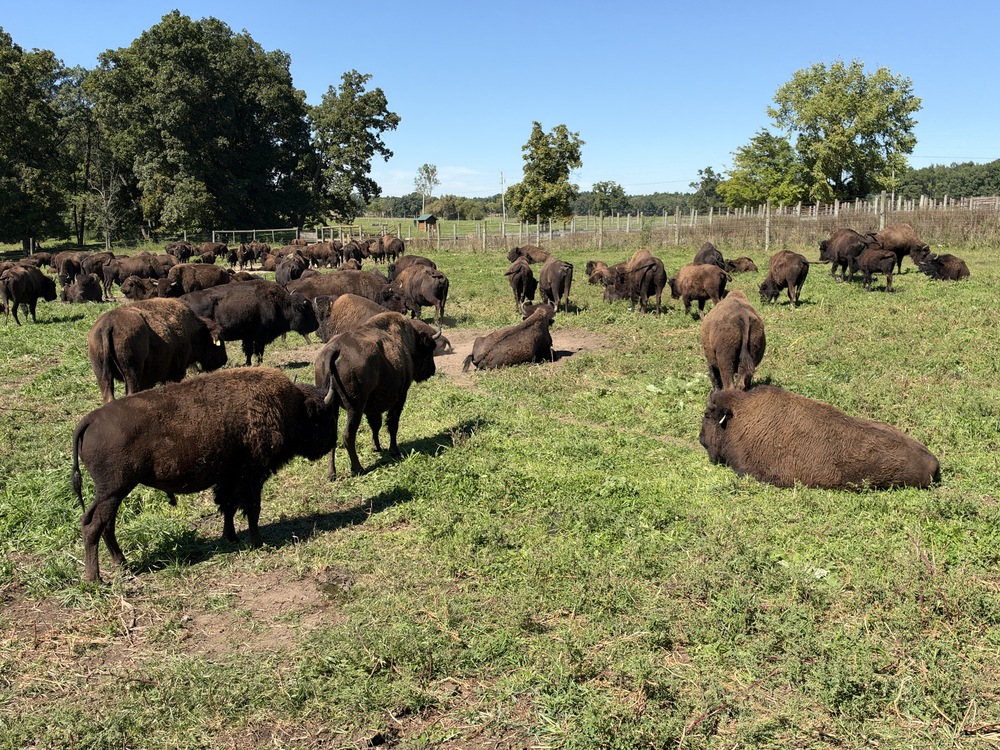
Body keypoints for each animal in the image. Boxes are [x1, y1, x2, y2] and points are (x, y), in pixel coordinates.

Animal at [71, 367, 339, 582]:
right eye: (323, 417)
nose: (331, 441)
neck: (287, 407)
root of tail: (89, 420)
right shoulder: (252, 477)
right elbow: (252, 509)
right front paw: (257, 542)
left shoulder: (228, 479)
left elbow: (228, 507)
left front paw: (230, 537)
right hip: (113, 490)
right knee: (94, 525)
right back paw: (96, 579)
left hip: (111, 493)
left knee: (104, 524)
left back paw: (121, 563)